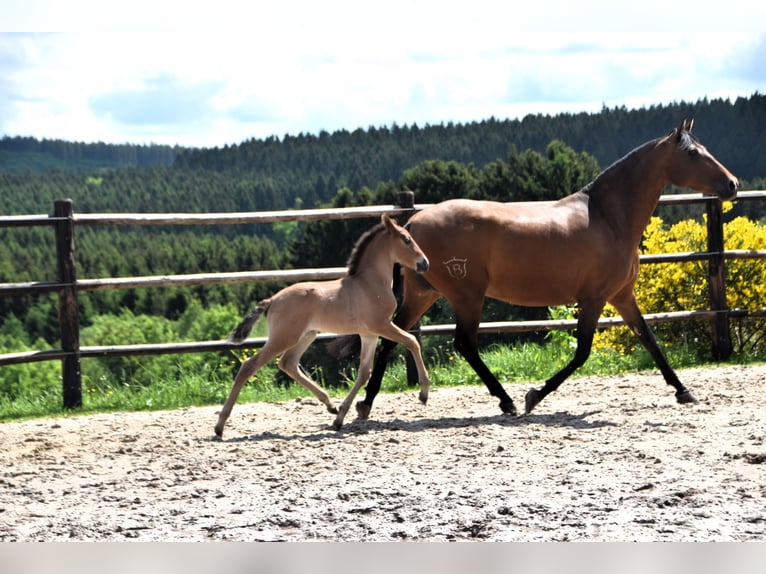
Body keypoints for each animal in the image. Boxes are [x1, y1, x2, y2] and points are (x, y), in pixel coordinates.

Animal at [216, 214, 432, 438]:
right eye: (406, 239)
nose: (424, 263)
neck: (370, 283)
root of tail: (272, 300)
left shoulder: (369, 334)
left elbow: (364, 373)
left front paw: (340, 418)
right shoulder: (381, 325)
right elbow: (412, 341)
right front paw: (424, 393)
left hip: (307, 335)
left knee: (288, 363)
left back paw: (330, 405)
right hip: (284, 337)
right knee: (249, 366)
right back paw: (220, 425)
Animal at [356, 119, 740, 420]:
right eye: (693, 154)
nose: (732, 184)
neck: (608, 218)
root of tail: (412, 223)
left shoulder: (621, 296)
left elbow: (649, 338)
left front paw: (684, 390)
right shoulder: (594, 298)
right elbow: (583, 351)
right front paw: (534, 396)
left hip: (424, 294)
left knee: (393, 338)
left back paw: (365, 406)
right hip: (466, 296)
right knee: (464, 344)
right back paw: (507, 401)